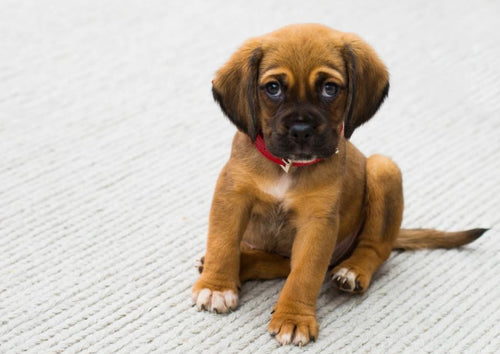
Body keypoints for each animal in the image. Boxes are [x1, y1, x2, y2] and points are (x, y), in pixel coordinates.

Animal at [192, 24, 488, 346]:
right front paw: (217, 286)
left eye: (329, 89)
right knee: (279, 263)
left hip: (383, 169)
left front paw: (294, 318)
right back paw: (239, 264)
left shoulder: (317, 223)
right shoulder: (231, 197)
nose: (301, 131)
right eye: (273, 88)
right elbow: (222, 244)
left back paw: (352, 271)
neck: (287, 167)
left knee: (374, 249)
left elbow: (305, 274)